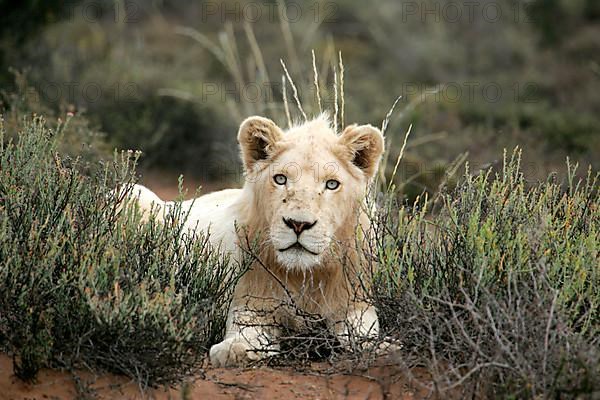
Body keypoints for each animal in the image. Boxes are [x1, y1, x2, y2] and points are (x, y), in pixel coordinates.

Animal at [126, 115, 384, 366]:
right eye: (280, 179)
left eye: (331, 184)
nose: (298, 224)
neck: (304, 278)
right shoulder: (251, 303)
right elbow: (246, 332)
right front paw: (234, 350)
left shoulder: (353, 304)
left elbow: (364, 332)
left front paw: (382, 347)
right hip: (135, 193)